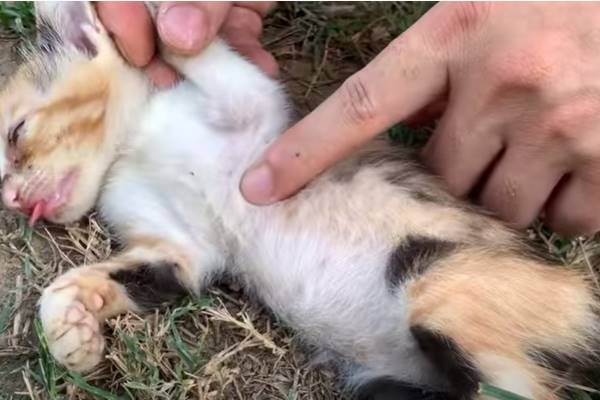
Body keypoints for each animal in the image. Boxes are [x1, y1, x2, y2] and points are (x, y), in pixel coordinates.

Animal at [2, 2, 596, 396]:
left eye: (16, 131)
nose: (11, 199)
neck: (136, 141)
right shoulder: (184, 249)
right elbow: (135, 275)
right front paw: (71, 324)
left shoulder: (252, 102)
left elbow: (198, 50)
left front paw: (163, 19)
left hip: (443, 288)